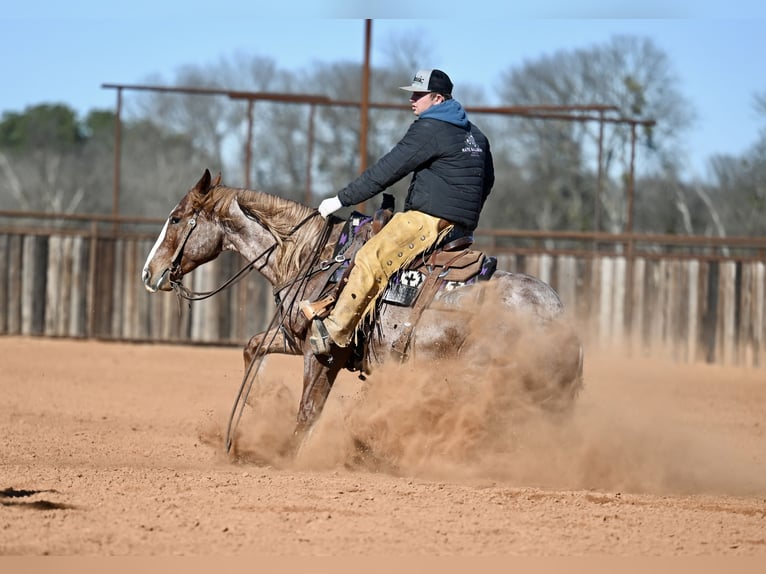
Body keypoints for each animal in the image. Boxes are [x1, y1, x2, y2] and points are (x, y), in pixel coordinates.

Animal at [141, 169, 584, 454]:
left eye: (176, 218)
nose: (149, 272)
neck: (310, 256)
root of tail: (560, 316)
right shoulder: (295, 337)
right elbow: (253, 348)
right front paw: (256, 409)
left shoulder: (322, 352)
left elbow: (308, 411)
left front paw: (287, 455)